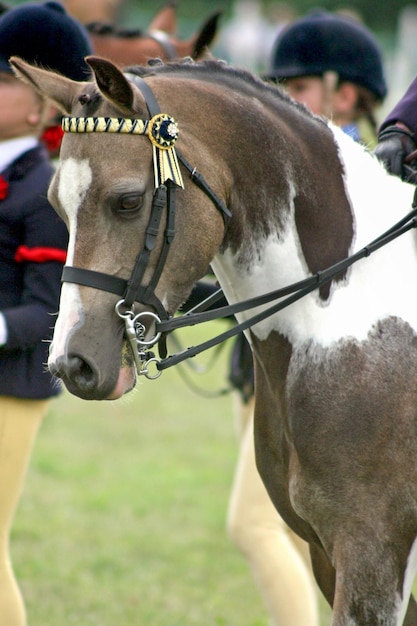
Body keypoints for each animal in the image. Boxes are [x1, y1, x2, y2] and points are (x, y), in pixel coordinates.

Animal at [10, 56, 417, 620]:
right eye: (56, 206)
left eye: (128, 201)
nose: (74, 364)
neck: (350, 318)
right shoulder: (326, 554)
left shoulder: (373, 552)